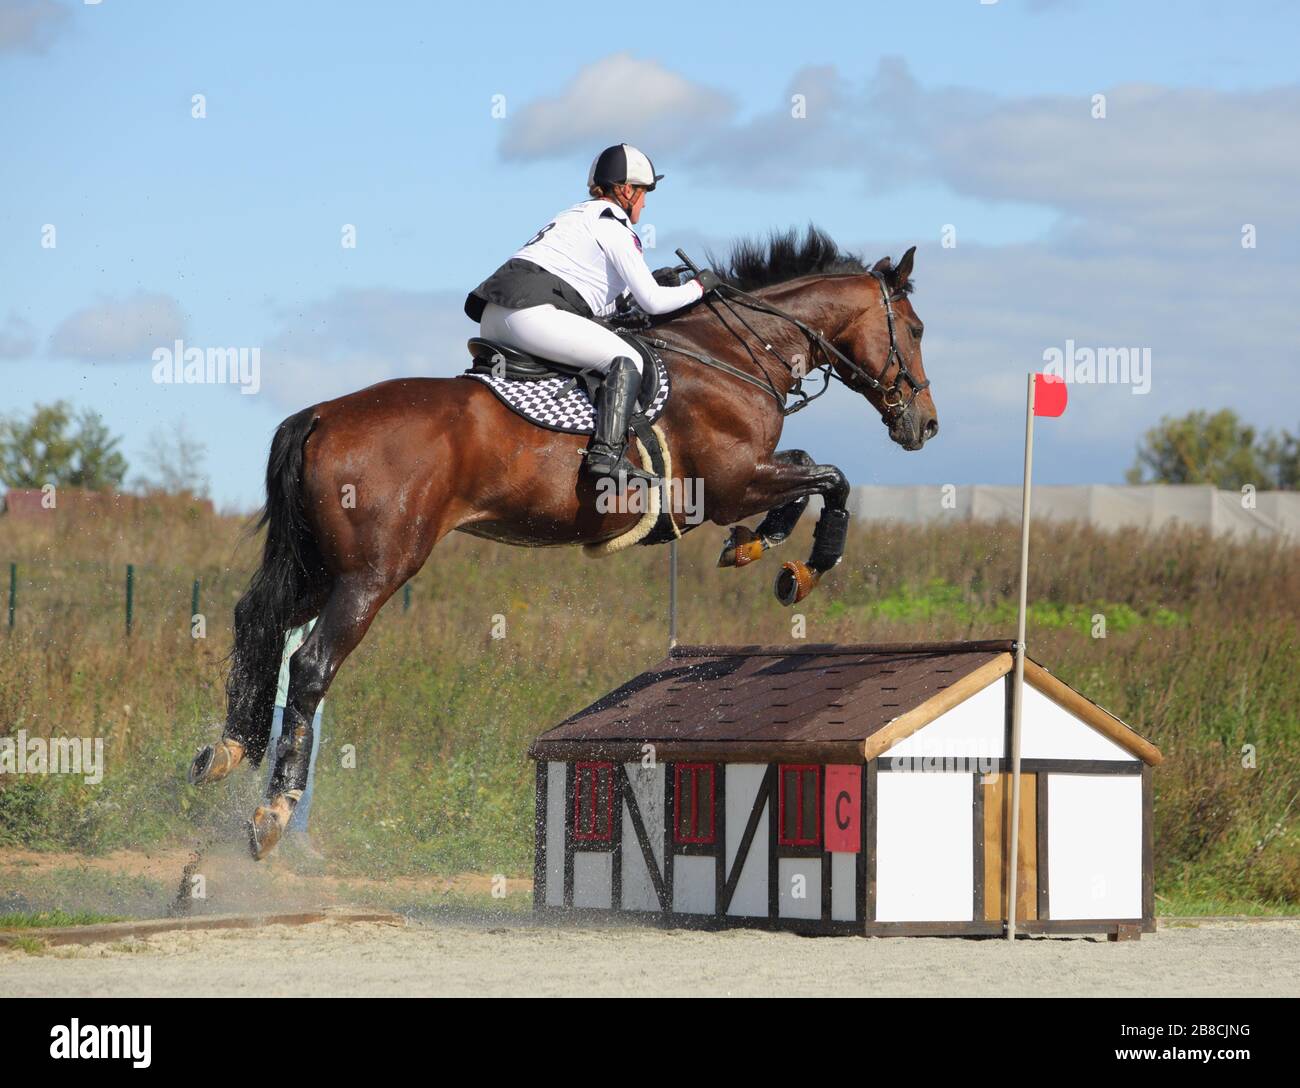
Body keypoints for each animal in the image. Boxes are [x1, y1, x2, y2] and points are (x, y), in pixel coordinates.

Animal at [185, 227, 935, 857]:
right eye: (917, 329)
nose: (923, 424)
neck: (733, 354)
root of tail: (318, 416)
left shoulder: (743, 481)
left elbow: (807, 475)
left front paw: (756, 545)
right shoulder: (730, 483)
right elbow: (830, 479)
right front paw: (802, 569)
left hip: (319, 566)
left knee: (255, 622)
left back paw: (226, 752)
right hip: (373, 572)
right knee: (310, 664)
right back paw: (272, 812)